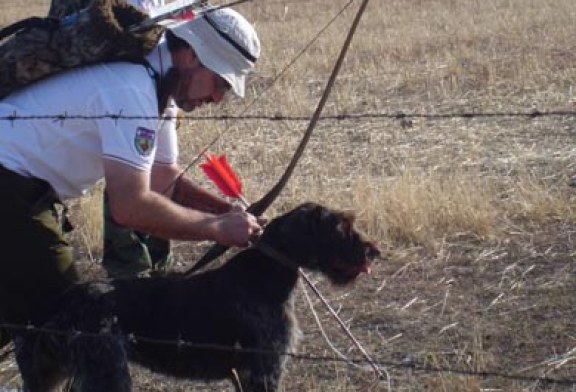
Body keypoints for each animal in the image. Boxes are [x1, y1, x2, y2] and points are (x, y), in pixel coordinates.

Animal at [14, 204, 378, 390]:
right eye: (341, 227)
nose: (373, 251)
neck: (266, 274)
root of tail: (62, 301)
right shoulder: (264, 371)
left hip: (49, 375)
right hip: (106, 374)